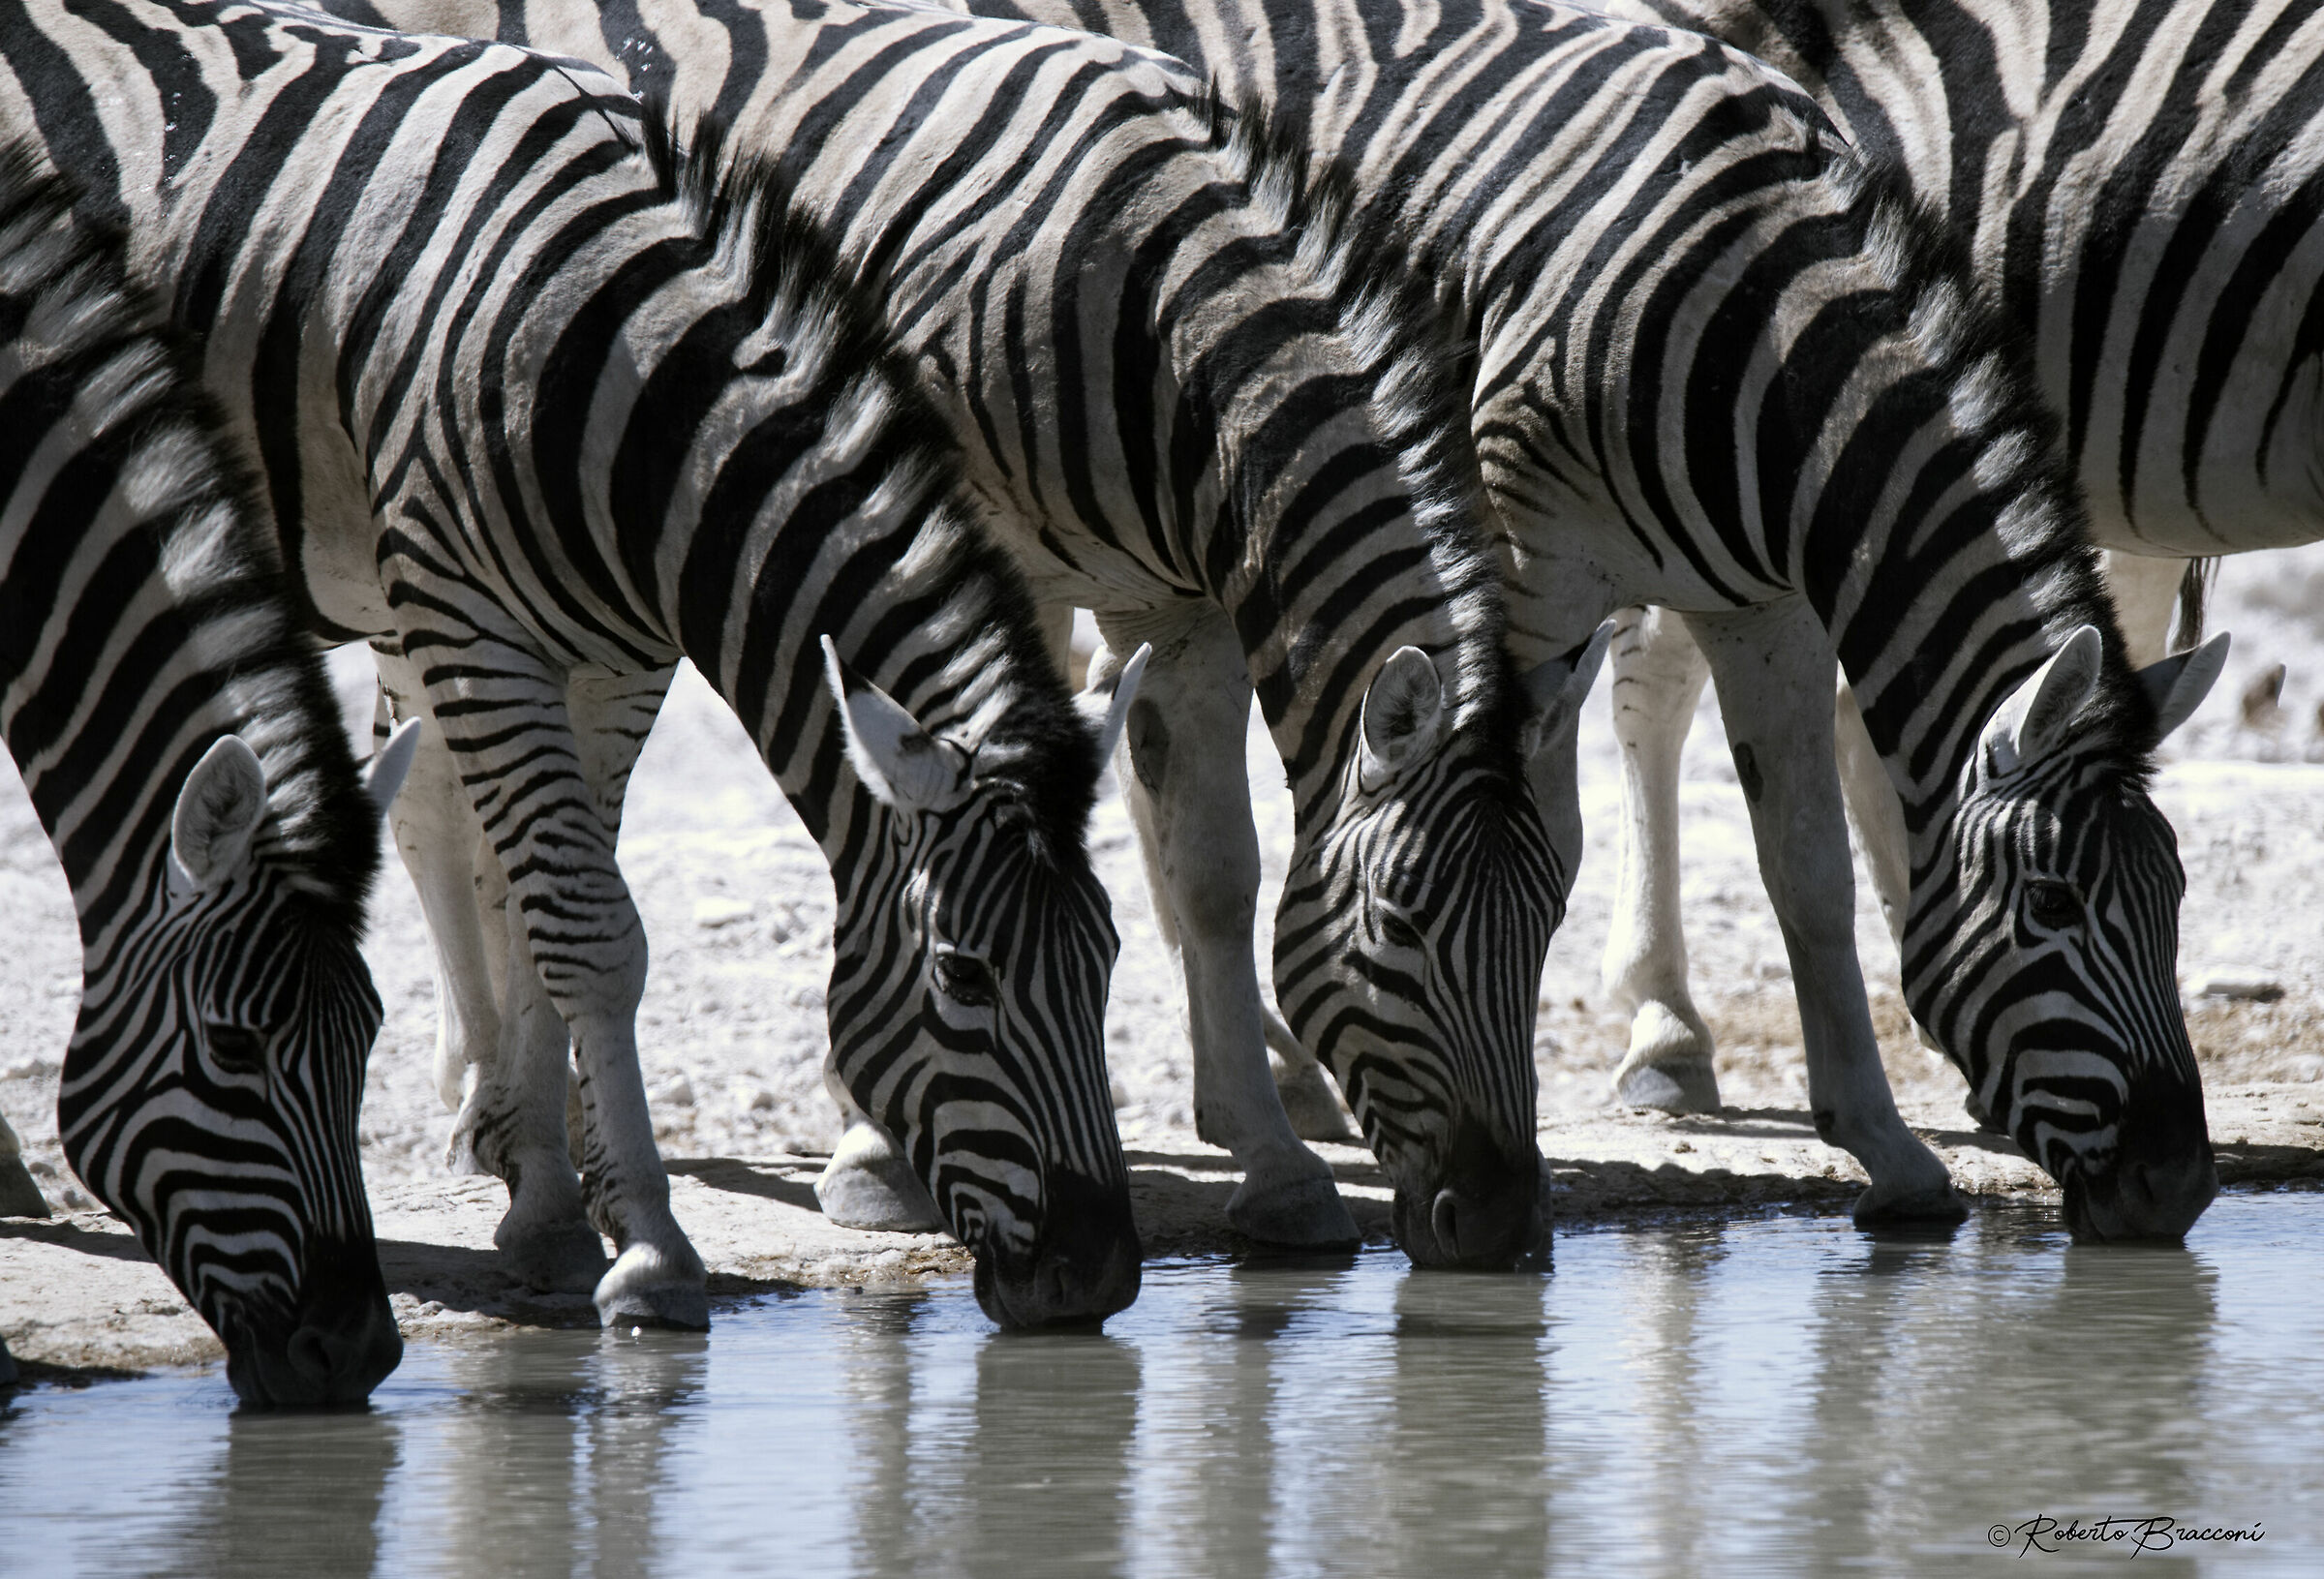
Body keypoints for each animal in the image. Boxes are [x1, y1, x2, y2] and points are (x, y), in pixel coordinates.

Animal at [335, 0, 1603, 1268]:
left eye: (1552, 916)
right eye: (1400, 922)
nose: (1500, 1222)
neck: (1156, 321)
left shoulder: (1178, 607)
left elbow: (1216, 873)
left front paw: (1277, 1165)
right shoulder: (962, 551)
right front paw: (872, 1151)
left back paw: (514, 1110)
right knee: (444, 803)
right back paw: (499, 1110)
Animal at [951, 0, 2230, 1237]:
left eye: (2175, 899)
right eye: (2056, 906)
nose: (2177, 1188)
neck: (1767, 327)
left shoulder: (1769, 604)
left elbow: (1807, 869)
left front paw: (1888, 1150)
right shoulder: (1529, 568)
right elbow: (1544, 837)